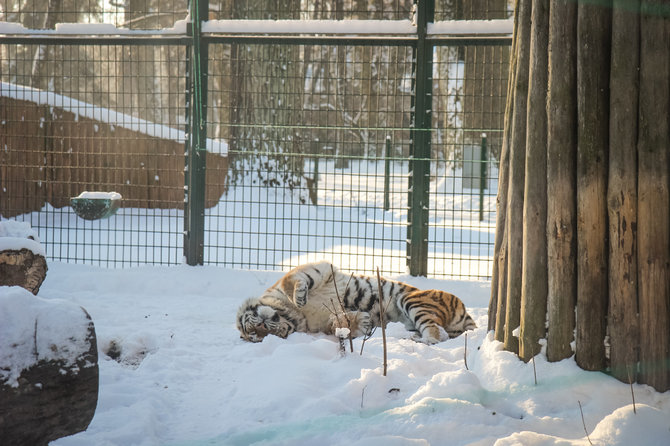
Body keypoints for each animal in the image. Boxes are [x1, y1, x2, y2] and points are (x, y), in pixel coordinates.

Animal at [236, 262, 478, 344]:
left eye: (255, 328)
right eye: (257, 334)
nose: (263, 325)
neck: (296, 315)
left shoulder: (321, 270)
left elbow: (292, 279)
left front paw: (299, 295)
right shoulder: (322, 322)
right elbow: (337, 323)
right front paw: (362, 322)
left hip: (410, 299)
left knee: (435, 332)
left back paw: (421, 340)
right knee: (439, 333)